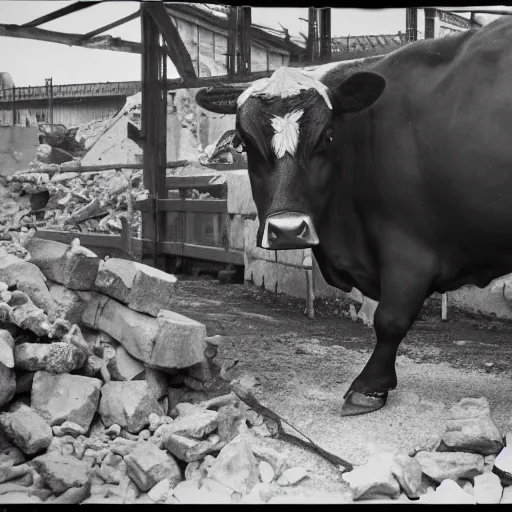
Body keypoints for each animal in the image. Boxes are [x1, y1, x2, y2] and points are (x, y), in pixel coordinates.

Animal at [196, 17, 512, 416]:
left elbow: (390, 319)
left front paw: (370, 386)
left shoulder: (408, 246)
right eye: (244, 143)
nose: (288, 231)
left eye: (328, 137)